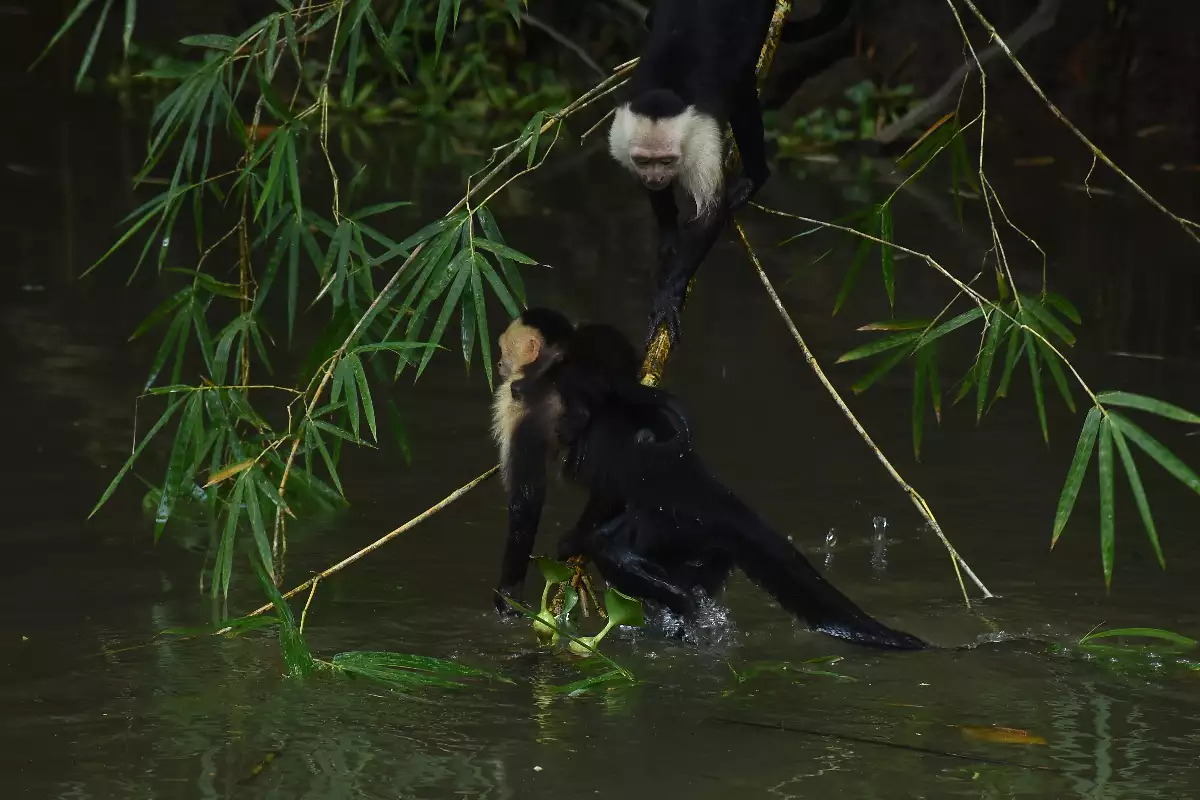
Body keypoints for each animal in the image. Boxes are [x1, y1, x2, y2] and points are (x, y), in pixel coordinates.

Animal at [490, 308, 927, 651]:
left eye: (502, 349)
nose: (498, 364)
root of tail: (710, 489)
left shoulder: (520, 405)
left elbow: (527, 499)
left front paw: (508, 598)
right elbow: (604, 491)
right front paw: (571, 543)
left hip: (675, 523)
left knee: (616, 549)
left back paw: (670, 598)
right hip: (698, 541)